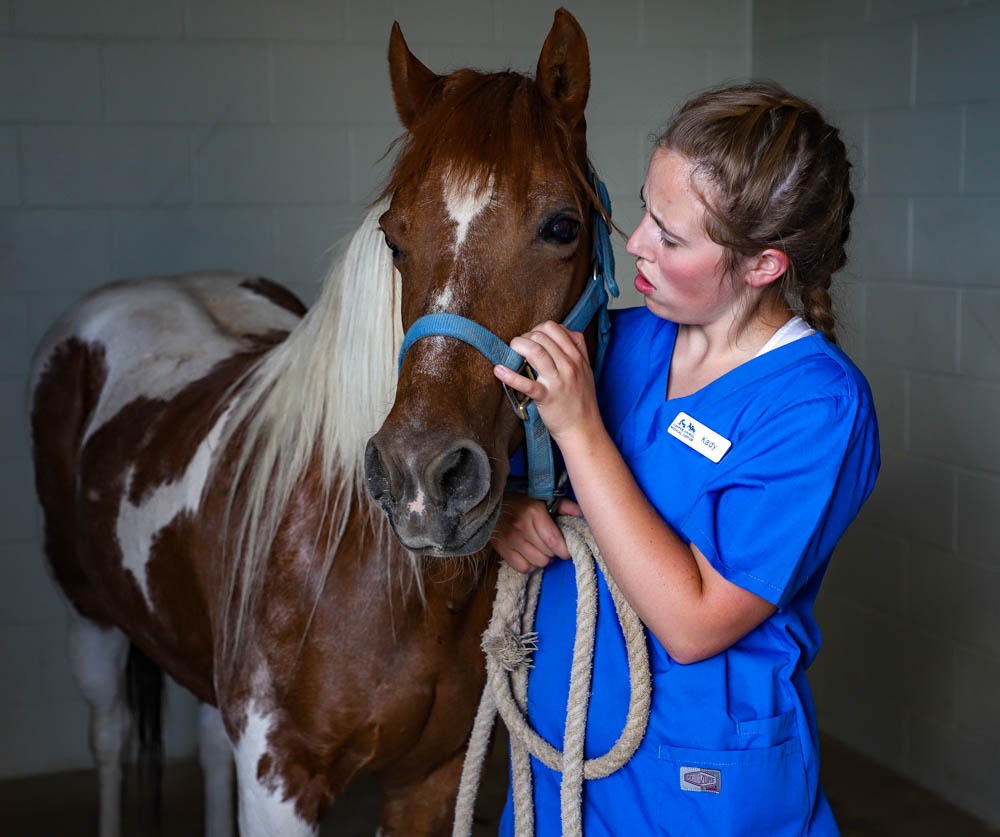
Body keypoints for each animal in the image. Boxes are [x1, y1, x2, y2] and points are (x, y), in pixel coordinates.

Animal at [27, 8, 600, 836]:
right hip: (90, 616)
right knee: (109, 736)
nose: (423, 478)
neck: (376, 570)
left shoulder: (430, 778)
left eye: (561, 227)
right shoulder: (280, 781)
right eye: (394, 236)